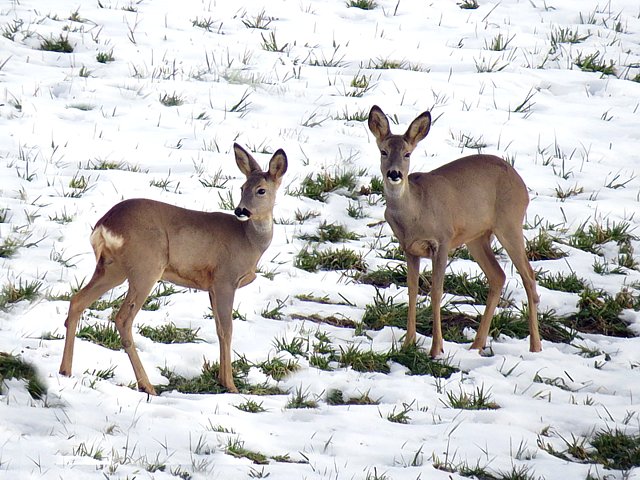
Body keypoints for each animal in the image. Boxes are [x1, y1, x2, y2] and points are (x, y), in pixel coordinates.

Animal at [57, 144, 288, 396]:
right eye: (243, 188)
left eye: (260, 190)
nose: (240, 210)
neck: (248, 240)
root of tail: (104, 224)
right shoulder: (225, 279)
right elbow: (227, 329)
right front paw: (231, 385)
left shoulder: (211, 286)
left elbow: (218, 328)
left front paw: (221, 379)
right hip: (146, 266)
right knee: (122, 319)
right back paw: (147, 385)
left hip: (111, 268)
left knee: (77, 300)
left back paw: (65, 370)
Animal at [368, 106, 544, 360]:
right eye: (383, 151)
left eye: (407, 154)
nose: (394, 173)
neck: (415, 212)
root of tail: (521, 183)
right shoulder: (409, 248)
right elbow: (412, 291)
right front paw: (408, 344)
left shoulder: (442, 240)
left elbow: (436, 292)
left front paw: (436, 349)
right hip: (477, 237)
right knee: (498, 275)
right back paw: (477, 345)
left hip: (510, 223)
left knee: (528, 275)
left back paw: (535, 346)